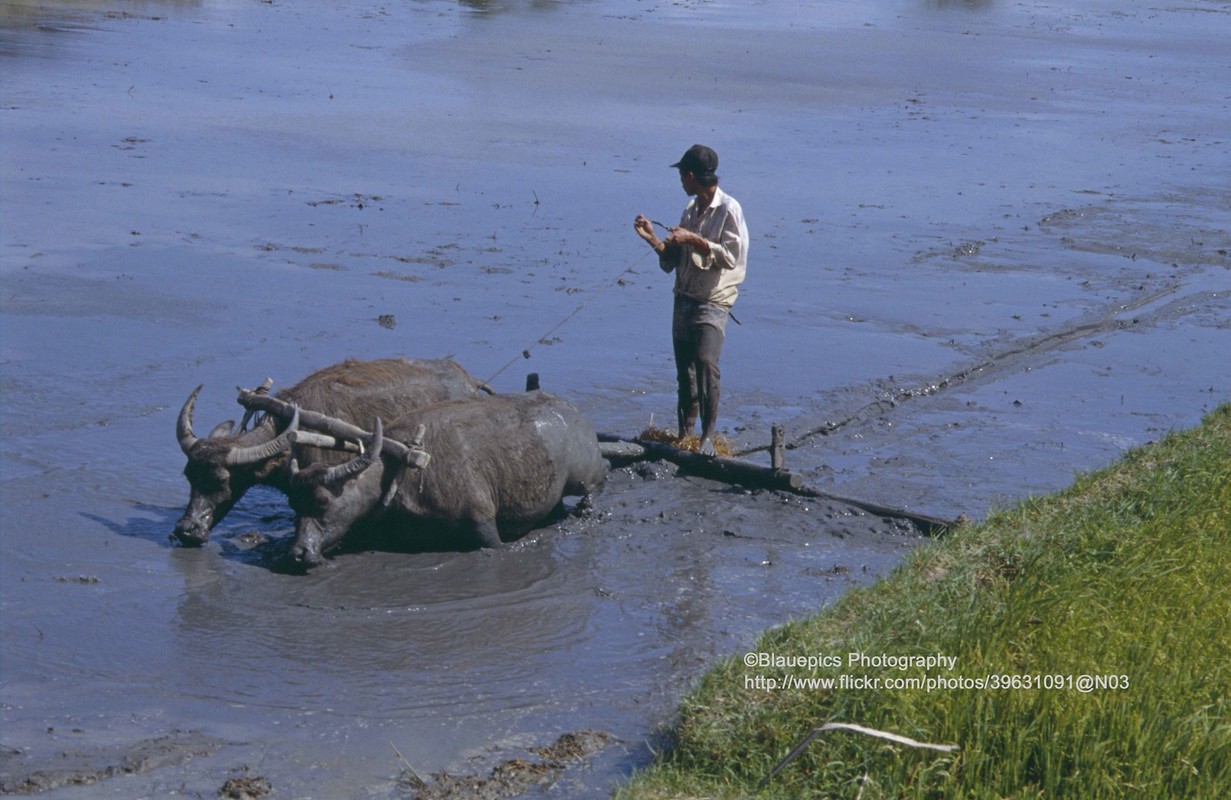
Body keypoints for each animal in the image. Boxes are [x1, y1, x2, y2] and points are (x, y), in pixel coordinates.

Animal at [292, 388, 610, 563]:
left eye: (322, 501)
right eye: (294, 504)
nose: (298, 552)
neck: (403, 469)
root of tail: (577, 416)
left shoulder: (484, 524)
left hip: (587, 477)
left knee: (595, 486)